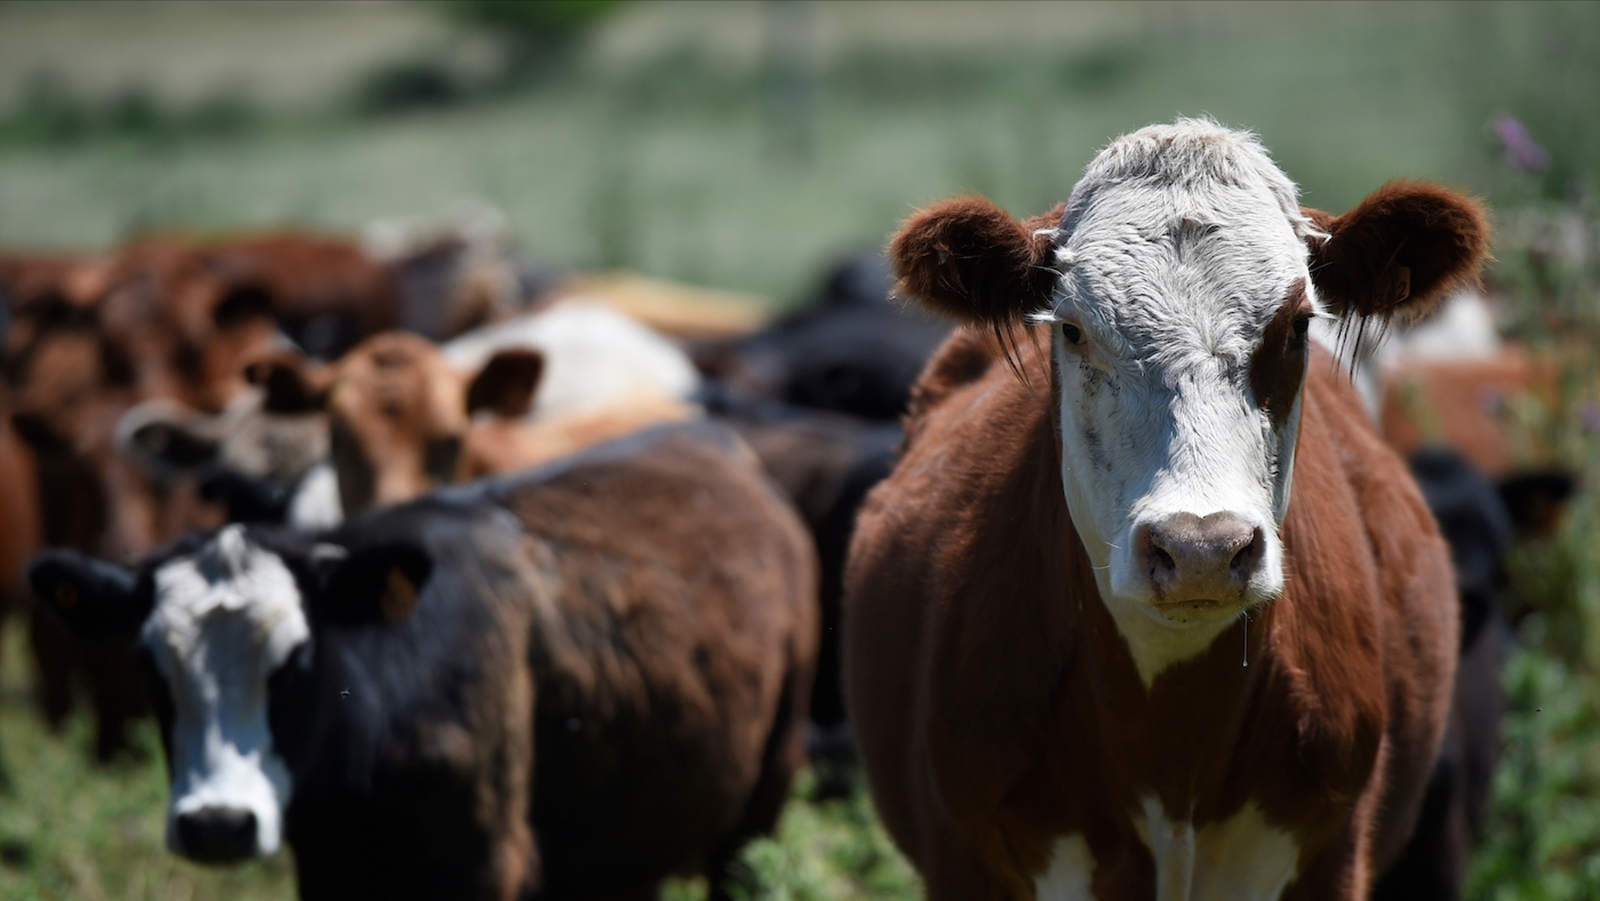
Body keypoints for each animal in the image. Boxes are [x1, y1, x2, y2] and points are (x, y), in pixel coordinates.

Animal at [31, 422, 819, 901]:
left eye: (298, 659)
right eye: (149, 664)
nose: (218, 823)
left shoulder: (484, 865)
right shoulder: (330, 868)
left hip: (760, 804)